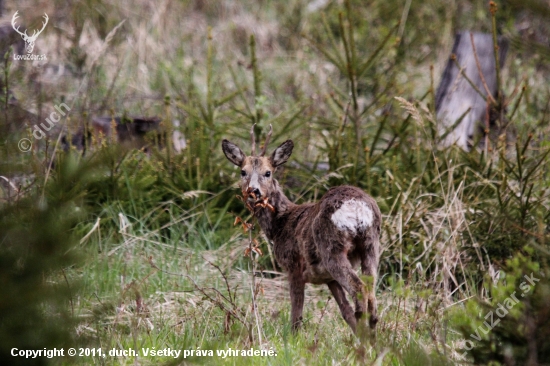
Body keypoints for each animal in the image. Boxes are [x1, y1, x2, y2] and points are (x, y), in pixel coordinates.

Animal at [222, 125, 382, 332]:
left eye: (268, 172)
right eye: (243, 171)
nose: (253, 191)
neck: (280, 224)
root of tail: (356, 206)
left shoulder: (293, 266)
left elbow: (296, 314)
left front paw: (293, 337)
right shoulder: (328, 279)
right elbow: (345, 313)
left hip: (332, 249)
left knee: (360, 288)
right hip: (371, 245)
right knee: (371, 293)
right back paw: (370, 333)